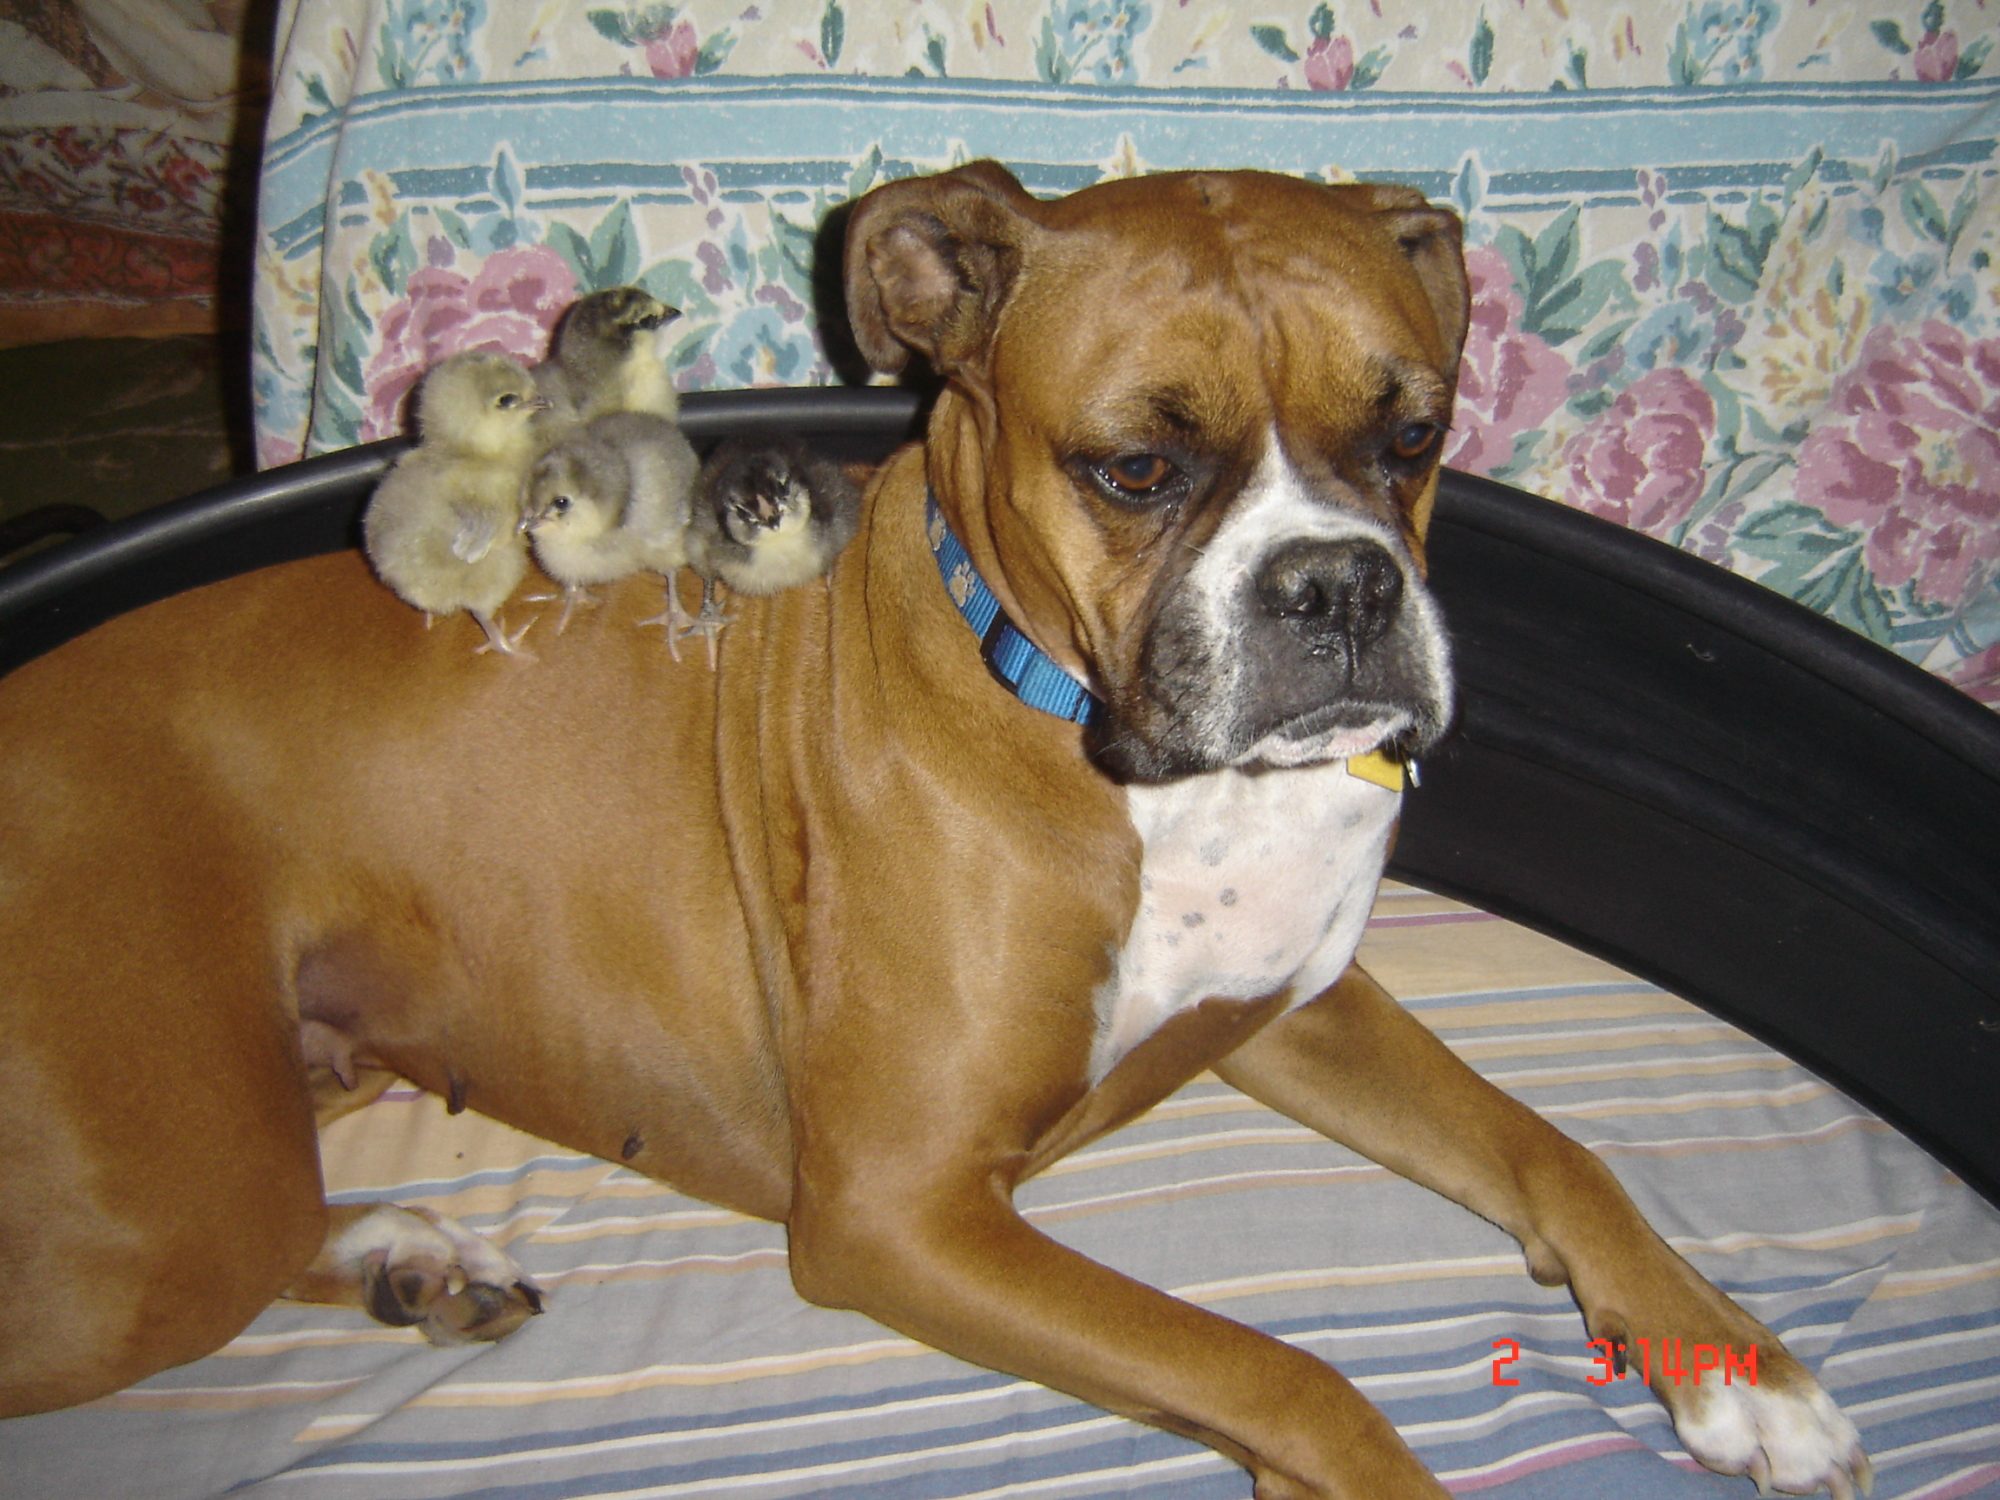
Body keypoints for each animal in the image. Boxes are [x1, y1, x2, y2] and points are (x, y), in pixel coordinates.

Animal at [0, 162, 1870, 1498]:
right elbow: (1286, 1372)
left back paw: (410, 1260)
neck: (1103, 743)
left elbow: (1554, 1148)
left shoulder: (1290, 1012)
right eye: (1133, 469)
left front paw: (1741, 1369)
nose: (1338, 585)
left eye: (1414, 435)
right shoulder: (898, 1214)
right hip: (170, 1214)